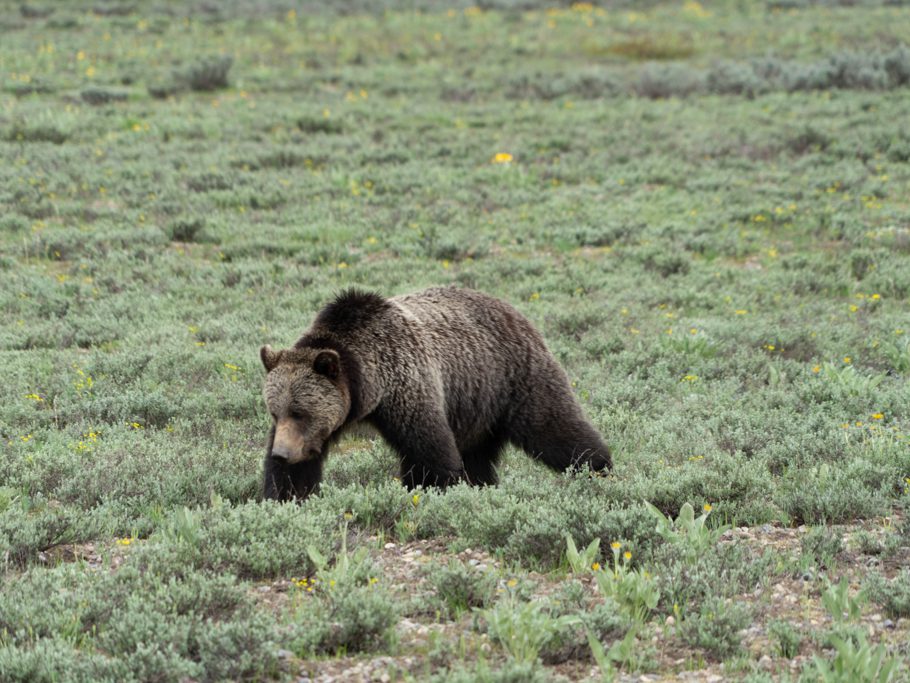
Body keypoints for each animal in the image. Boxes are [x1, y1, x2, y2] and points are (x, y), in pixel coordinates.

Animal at [260, 286, 608, 500]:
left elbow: (429, 451)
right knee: (478, 457)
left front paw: (428, 489)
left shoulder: (408, 385)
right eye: (276, 412)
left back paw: (598, 466)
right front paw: (286, 494)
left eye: (300, 412)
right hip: (475, 407)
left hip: (514, 378)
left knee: (553, 426)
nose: (282, 453)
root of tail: (511, 308)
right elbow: (298, 471)